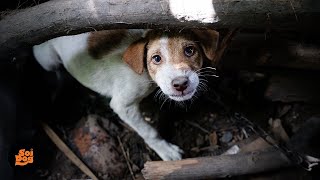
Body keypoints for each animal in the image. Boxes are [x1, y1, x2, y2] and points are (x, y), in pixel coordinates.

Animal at [32, 28, 219, 160]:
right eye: (156, 58)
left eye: (190, 50)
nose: (180, 84)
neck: (144, 72)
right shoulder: (123, 105)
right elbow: (149, 131)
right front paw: (166, 150)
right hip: (46, 58)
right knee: (54, 70)